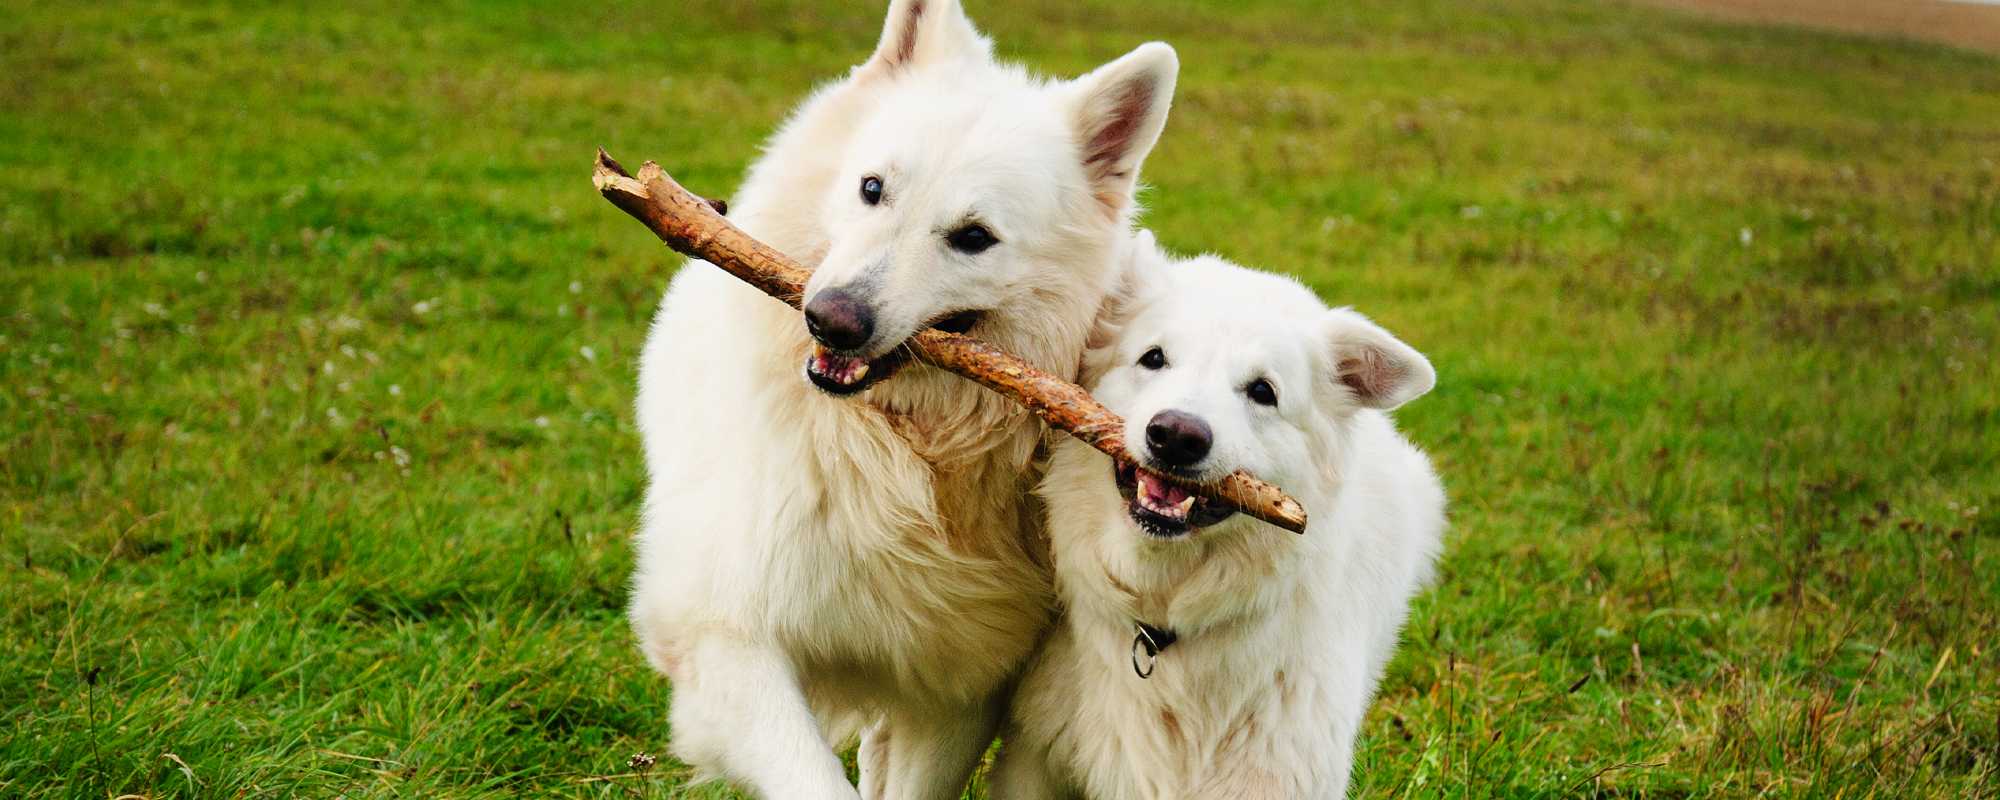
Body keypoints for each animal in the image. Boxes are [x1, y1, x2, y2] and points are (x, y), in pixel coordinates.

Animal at [632, 1, 1176, 792]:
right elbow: (814, 779)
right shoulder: (724, 638)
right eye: (872, 189)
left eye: (974, 237)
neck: (902, 450)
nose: (831, 320)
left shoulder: (957, 686)